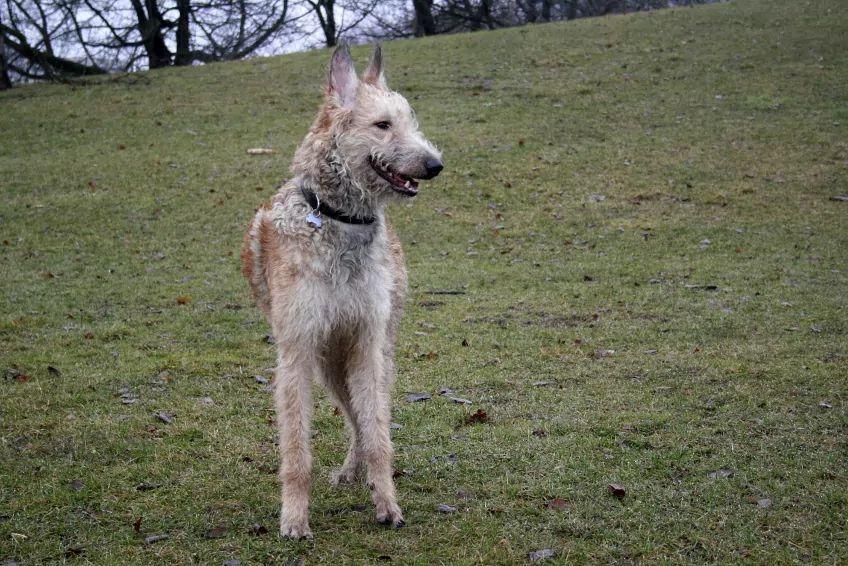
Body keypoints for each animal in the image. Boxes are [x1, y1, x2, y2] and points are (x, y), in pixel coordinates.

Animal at [240, 45, 444, 540]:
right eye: (382, 125)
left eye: (410, 120)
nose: (435, 165)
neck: (338, 221)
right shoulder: (296, 352)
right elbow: (296, 449)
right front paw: (294, 518)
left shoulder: (367, 343)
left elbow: (378, 434)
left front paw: (387, 503)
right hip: (327, 360)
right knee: (352, 415)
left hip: (366, 352)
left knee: (366, 419)